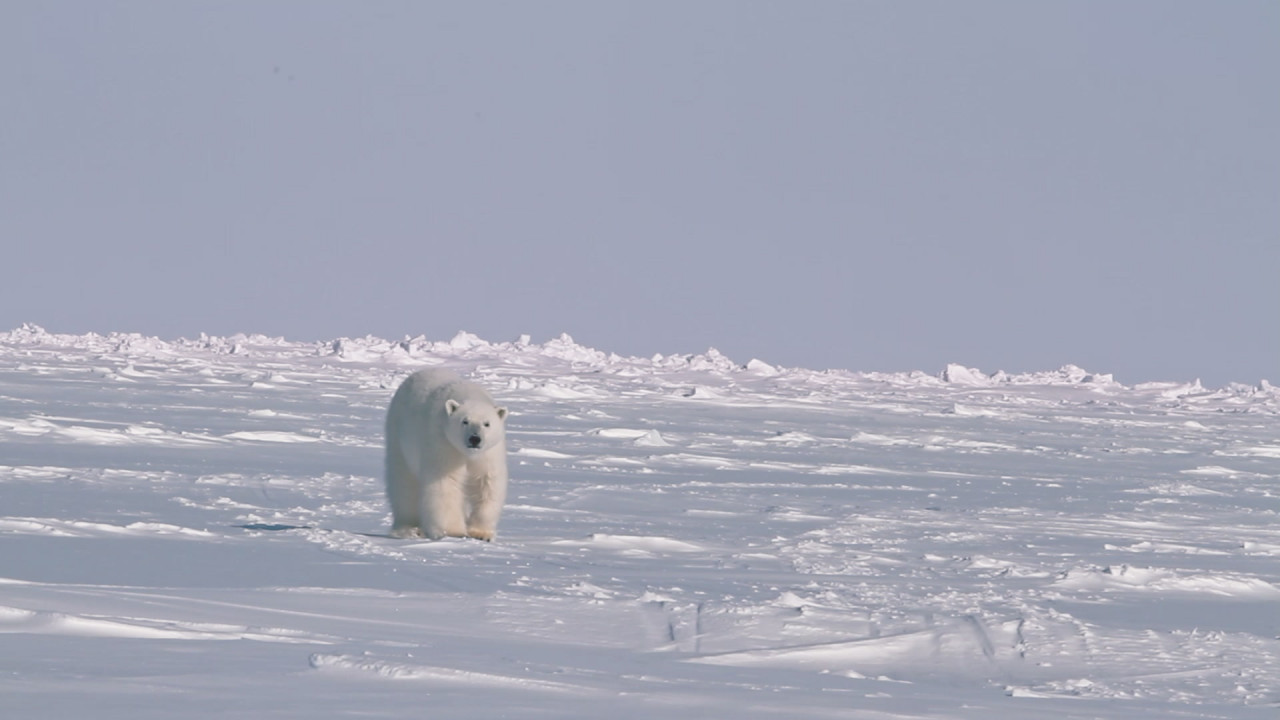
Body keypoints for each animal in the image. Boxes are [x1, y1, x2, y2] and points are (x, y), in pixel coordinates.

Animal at [384, 368, 509, 538]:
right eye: (465, 421)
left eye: (487, 423)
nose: (474, 439)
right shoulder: (443, 443)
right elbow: (446, 482)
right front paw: (452, 532)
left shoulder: (488, 453)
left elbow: (487, 482)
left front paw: (481, 533)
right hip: (399, 437)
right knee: (404, 484)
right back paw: (408, 528)